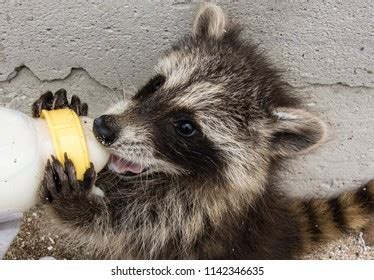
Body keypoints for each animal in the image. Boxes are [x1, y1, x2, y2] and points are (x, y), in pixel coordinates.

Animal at [32, 3, 374, 260]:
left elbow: (109, 226)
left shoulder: (187, 218)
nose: (103, 128)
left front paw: (73, 202)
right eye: (156, 84)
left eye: (186, 127)